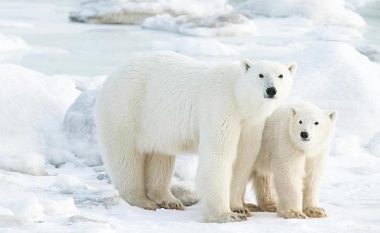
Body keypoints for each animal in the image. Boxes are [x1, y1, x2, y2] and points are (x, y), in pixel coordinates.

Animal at [95, 52, 296, 223]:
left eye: (280, 75)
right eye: (260, 75)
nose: (271, 90)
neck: (238, 96)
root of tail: (112, 75)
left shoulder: (250, 124)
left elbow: (242, 159)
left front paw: (239, 208)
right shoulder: (221, 107)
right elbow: (219, 155)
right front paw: (225, 215)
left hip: (157, 125)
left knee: (160, 156)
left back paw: (169, 199)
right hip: (126, 108)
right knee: (126, 156)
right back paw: (142, 200)